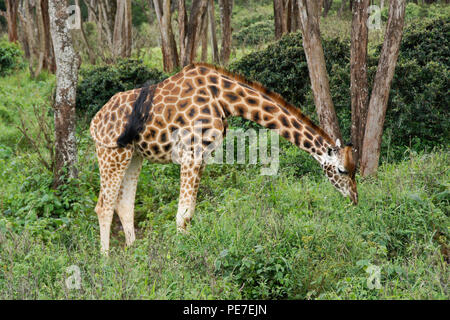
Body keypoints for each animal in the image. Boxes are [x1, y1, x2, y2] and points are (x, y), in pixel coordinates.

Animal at [90, 62, 358, 252]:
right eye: (342, 171)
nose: (355, 200)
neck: (225, 99)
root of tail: (95, 121)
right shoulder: (190, 154)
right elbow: (182, 215)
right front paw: (181, 259)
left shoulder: (202, 157)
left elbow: (189, 213)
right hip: (111, 152)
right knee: (103, 206)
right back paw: (106, 261)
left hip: (134, 155)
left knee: (124, 205)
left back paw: (134, 252)